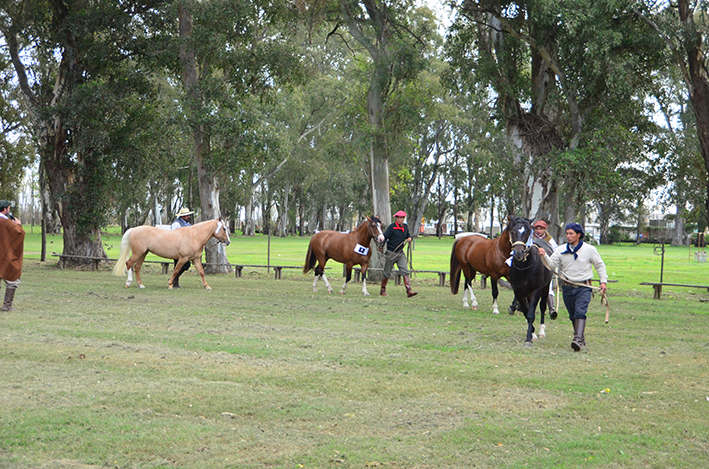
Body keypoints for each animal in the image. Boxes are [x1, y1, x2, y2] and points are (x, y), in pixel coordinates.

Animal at [508, 215, 552, 344]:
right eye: (512, 231)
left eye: (527, 231)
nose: (518, 253)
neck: (524, 268)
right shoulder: (518, 291)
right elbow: (526, 311)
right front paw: (531, 333)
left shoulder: (536, 290)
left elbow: (531, 313)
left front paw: (529, 339)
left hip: (545, 287)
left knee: (542, 307)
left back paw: (541, 331)